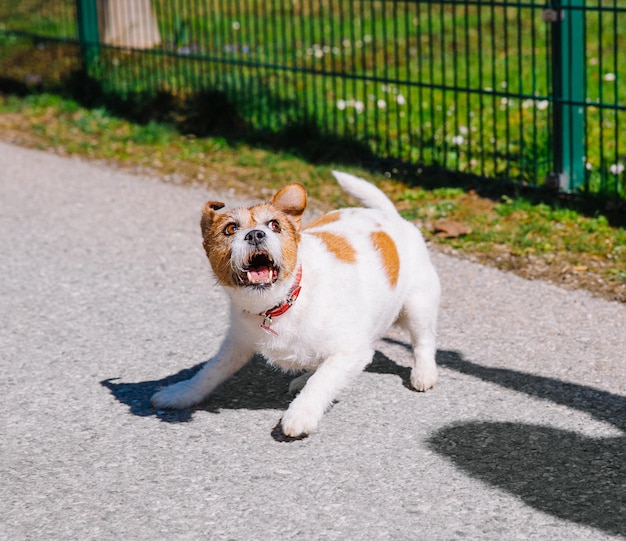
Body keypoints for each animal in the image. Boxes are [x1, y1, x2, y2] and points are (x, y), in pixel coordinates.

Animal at [151, 171, 438, 436]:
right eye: (230, 229)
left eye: (274, 225)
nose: (255, 234)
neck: (281, 302)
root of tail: (390, 216)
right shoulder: (237, 344)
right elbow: (210, 371)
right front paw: (181, 392)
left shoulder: (351, 351)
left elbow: (322, 381)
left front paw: (300, 414)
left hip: (418, 305)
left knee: (423, 342)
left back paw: (424, 373)